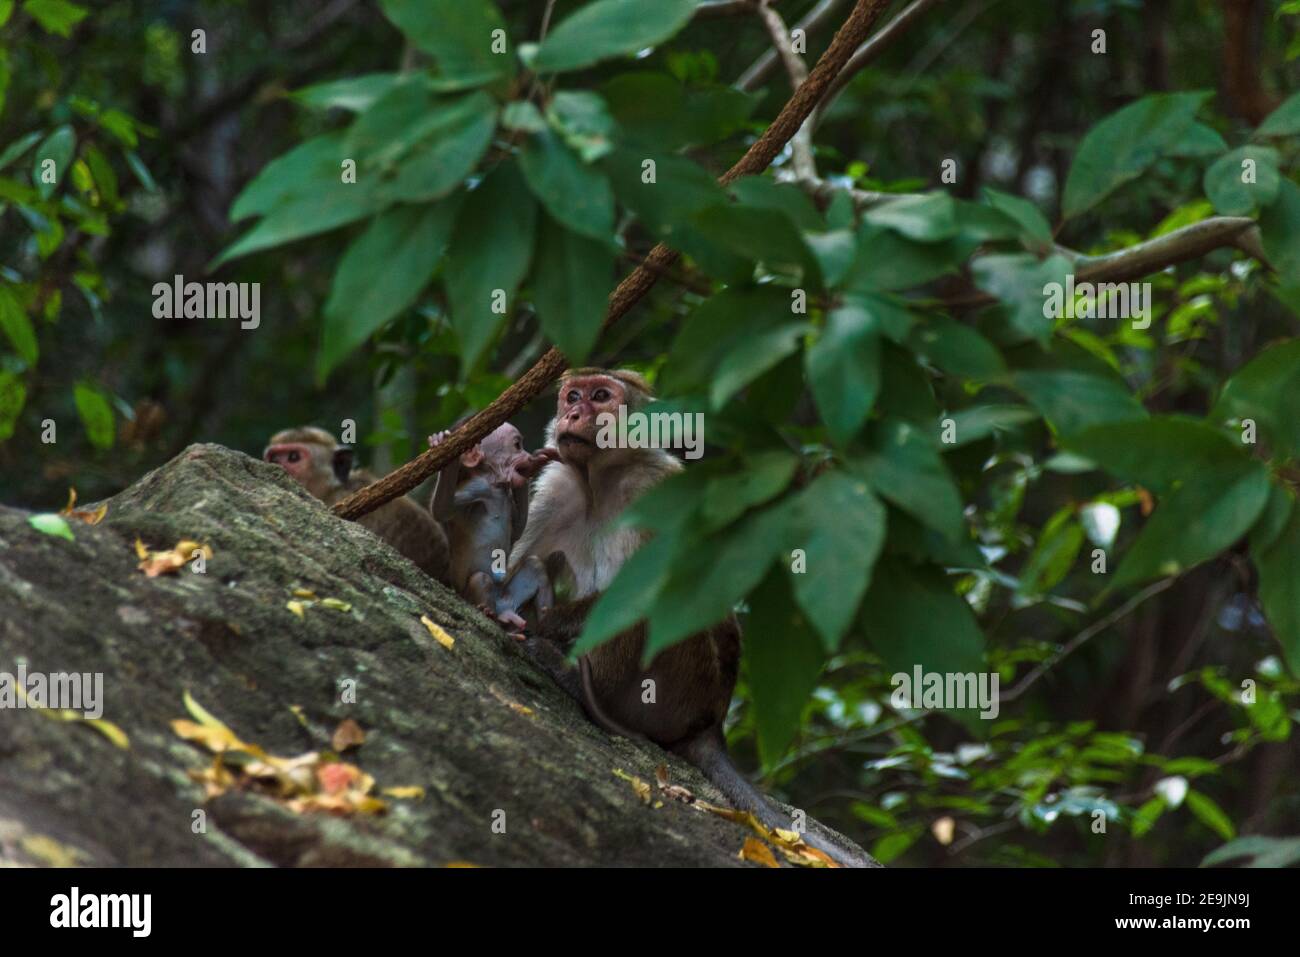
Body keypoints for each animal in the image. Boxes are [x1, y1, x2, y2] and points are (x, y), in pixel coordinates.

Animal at [427, 422, 557, 631]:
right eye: (517, 445)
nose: (527, 455)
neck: (496, 485)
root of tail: (505, 608)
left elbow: (517, 531)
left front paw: (531, 470)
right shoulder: (478, 487)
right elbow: (441, 509)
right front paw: (445, 451)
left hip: (509, 596)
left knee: (534, 566)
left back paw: (542, 620)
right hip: (470, 595)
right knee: (481, 579)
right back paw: (490, 613)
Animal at [509, 369, 871, 868]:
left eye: (601, 396)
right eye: (572, 395)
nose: (574, 413)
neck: (599, 479)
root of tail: (710, 724)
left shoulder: (653, 490)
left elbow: (645, 594)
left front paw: (541, 625)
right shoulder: (557, 488)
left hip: (677, 688)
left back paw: (575, 682)